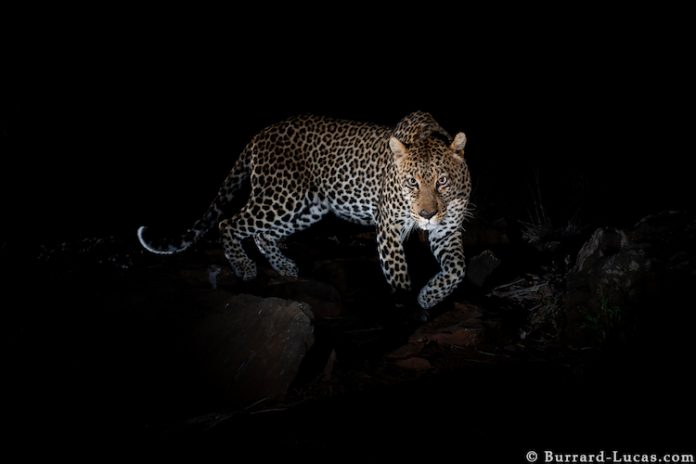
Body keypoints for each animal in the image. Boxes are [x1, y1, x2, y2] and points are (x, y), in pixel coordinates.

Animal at [137, 111, 472, 310]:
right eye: (411, 182)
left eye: (441, 181)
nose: (427, 215)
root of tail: (259, 135)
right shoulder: (389, 226)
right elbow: (399, 273)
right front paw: (404, 303)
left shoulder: (446, 229)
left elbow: (457, 269)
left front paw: (430, 296)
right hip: (281, 196)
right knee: (229, 223)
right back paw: (244, 267)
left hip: (306, 207)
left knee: (262, 234)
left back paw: (285, 266)